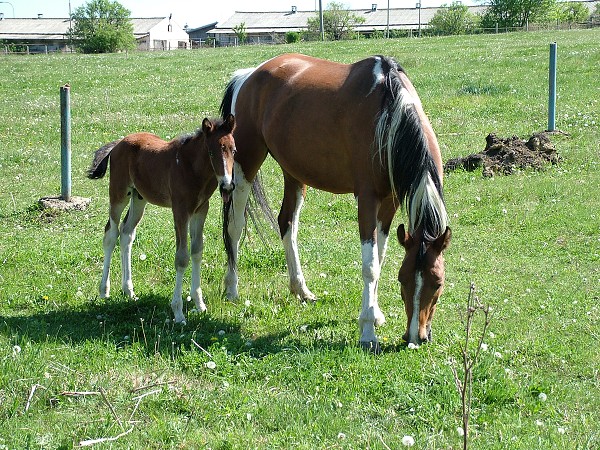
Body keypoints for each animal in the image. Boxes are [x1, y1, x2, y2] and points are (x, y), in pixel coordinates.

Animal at [88, 113, 236, 324]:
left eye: (234, 150)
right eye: (211, 152)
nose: (227, 185)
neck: (191, 168)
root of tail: (118, 143)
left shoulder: (201, 210)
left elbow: (197, 251)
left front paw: (199, 304)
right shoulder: (180, 210)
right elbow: (182, 257)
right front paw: (178, 313)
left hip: (138, 198)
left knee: (126, 233)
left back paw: (129, 291)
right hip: (118, 194)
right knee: (111, 234)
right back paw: (104, 291)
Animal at [219, 54, 450, 350]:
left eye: (438, 283)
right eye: (403, 279)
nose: (415, 337)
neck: (389, 115)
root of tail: (249, 75)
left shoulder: (390, 202)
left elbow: (380, 259)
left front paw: (375, 314)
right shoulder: (367, 199)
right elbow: (370, 266)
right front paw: (367, 332)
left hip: (294, 173)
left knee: (287, 224)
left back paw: (301, 290)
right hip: (246, 164)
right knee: (235, 227)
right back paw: (232, 288)